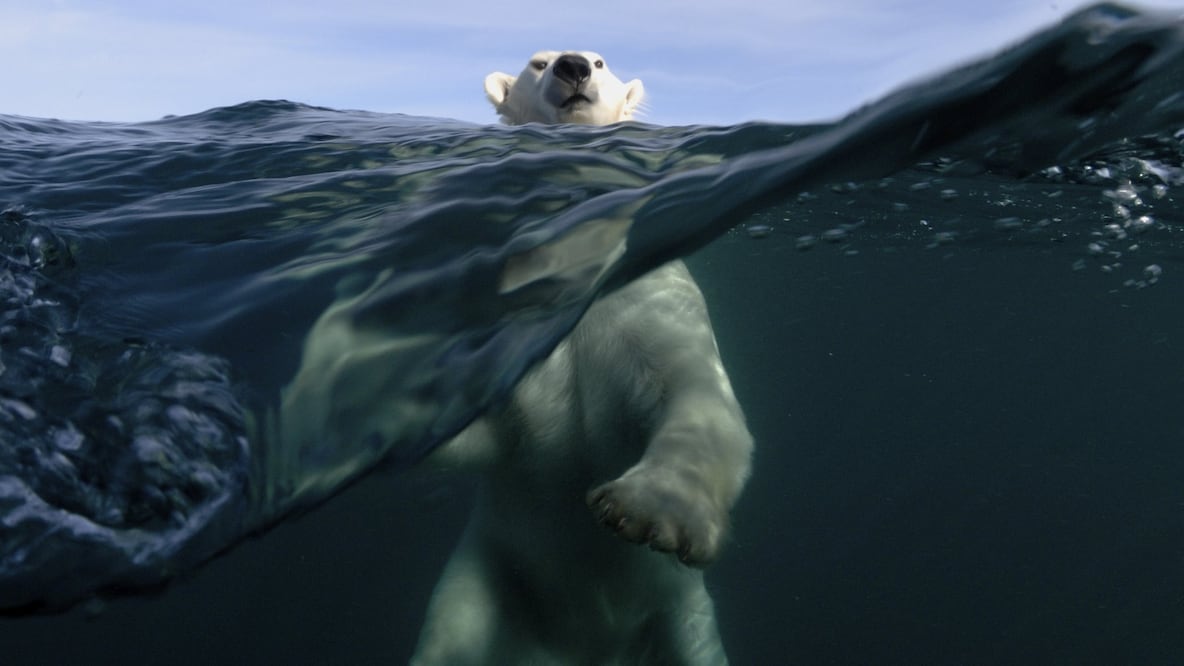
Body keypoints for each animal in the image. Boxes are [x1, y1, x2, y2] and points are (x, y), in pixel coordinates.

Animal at [410, 51, 753, 666]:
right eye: (537, 62)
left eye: (600, 61)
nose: (572, 67)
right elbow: (482, 434)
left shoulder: (647, 299)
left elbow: (694, 391)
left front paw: (648, 510)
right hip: (487, 574)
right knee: (450, 636)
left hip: (679, 612)